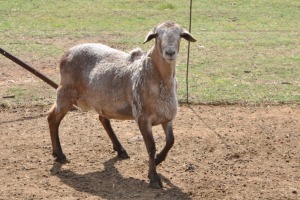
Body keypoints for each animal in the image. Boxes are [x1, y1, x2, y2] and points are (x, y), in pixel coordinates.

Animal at [47, 21, 197, 188]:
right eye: (157, 35)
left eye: (180, 35)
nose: (170, 52)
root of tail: (67, 52)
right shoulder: (142, 117)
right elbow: (151, 147)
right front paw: (153, 176)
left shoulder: (167, 116)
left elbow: (171, 141)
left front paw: (158, 159)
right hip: (66, 93)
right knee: (52, 118)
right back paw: (59, 154)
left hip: (100, 100)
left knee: (102, 119)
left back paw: (120, 149)